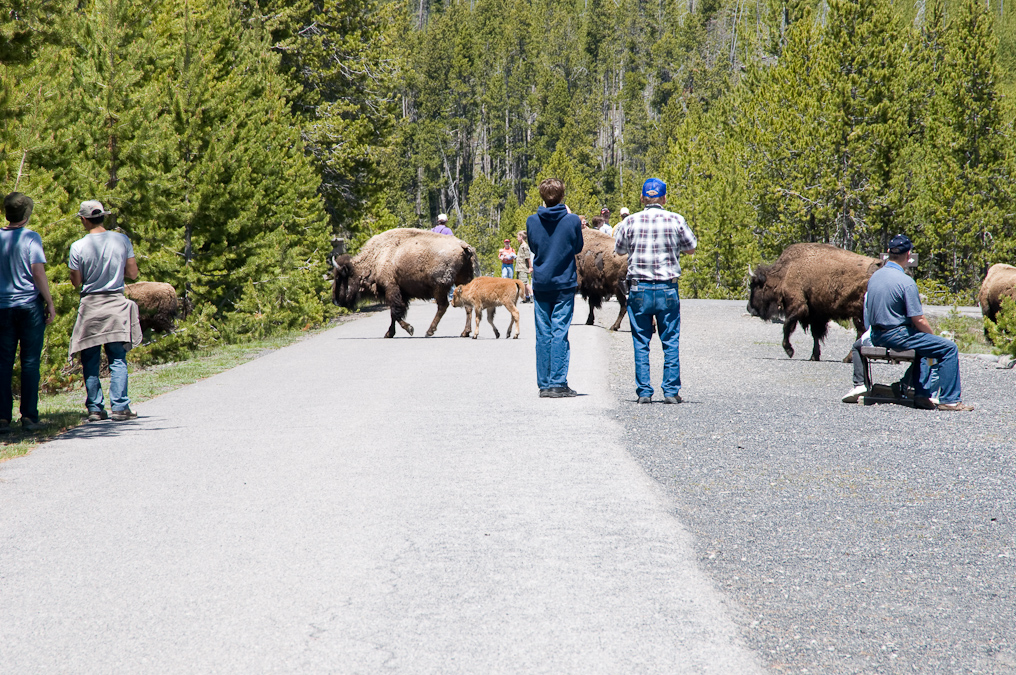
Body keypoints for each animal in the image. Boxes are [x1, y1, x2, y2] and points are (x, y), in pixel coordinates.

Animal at [332, 228, 479, 338]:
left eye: (339, 278)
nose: (335, 301)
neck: (376, 257)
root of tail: (463, 246)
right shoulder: (400, 293)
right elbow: (394, 314)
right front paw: (389, 333)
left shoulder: (391, 289)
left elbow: (396, 312)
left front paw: (409, 329)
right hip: (462, 281)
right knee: (466, 306)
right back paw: (464, 332)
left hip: (440, 286)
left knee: (443, 306)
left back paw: (429, 331)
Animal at [748, 243, 881, 361]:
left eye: (754, 286)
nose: (749, 308)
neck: (787, 270)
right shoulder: (815, 314)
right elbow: (815, 335)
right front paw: (814, 356)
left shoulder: (799, 307)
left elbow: (787, 326)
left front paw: (789, 350)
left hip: (859, 314)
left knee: (860, 332)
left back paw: (847, 359)